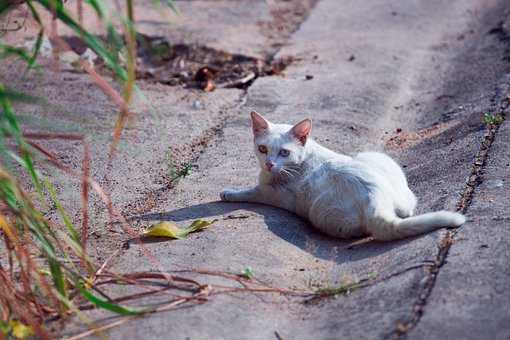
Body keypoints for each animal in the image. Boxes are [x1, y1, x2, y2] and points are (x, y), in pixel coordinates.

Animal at [219, 111, 466, 239]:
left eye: (284, 152)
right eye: (262, 149)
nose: (269, 164)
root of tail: (376, 196)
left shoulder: (275, 195)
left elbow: (253, 192)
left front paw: (229, 193)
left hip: (319, 211)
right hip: (375, 160)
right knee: (408, 208)